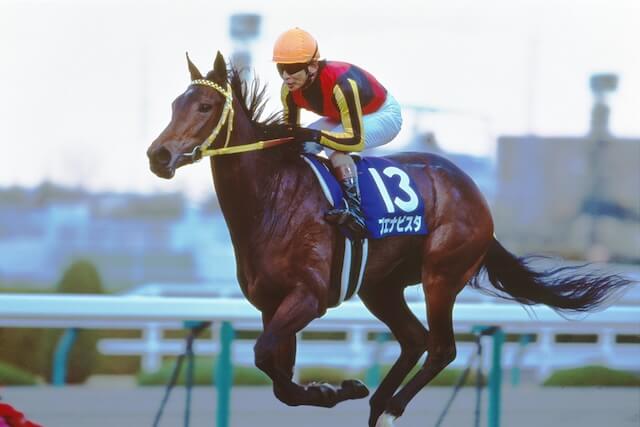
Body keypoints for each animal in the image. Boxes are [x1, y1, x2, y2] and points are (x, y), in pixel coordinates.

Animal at [146, 52, 631, 427]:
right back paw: (378, 401)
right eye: (172, 105)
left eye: (206, 105)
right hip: (381, 286)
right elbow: (279, 377)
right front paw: (336, 389)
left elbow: (266, 358)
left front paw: (334, 390)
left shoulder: (308, 296)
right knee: (414, 339)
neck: (271, 200)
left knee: (440, 348)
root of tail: (476, 196)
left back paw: (391, 406)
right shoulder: (272, 305)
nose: (157, 156)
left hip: (441, 274)